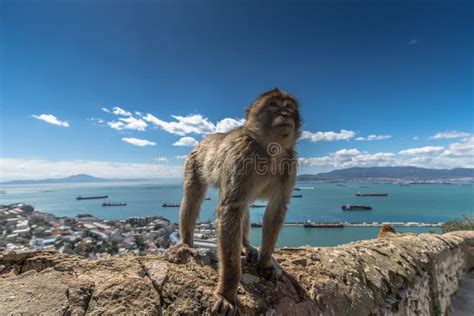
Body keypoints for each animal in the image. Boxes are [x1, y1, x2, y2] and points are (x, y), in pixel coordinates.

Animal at [178, 88, 300, 314]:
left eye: (289, 107)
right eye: (274, 105)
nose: (286, 114)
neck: (271, 149)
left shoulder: (290, 165)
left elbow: (276, 209)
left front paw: (265, 263)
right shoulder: (241, 157)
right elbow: (230, 210)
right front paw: (227, 293)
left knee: (244, 207)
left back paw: (246, 247)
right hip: (194, 162)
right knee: (193, 197)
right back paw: (186, 242)